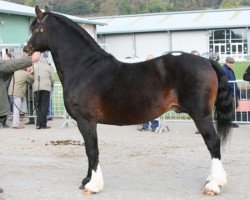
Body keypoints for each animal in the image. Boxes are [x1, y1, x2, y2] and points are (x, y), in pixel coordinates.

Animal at [24, 5, 233, 195]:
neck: (85, 68)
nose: (26, 48)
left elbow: (92, 150)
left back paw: (214, 185)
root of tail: (207, 61)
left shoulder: (86, 121)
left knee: (213, 143)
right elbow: (89, 150)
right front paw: (86, 180)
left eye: (35, 28)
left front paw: (92, 185)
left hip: (201, 116)